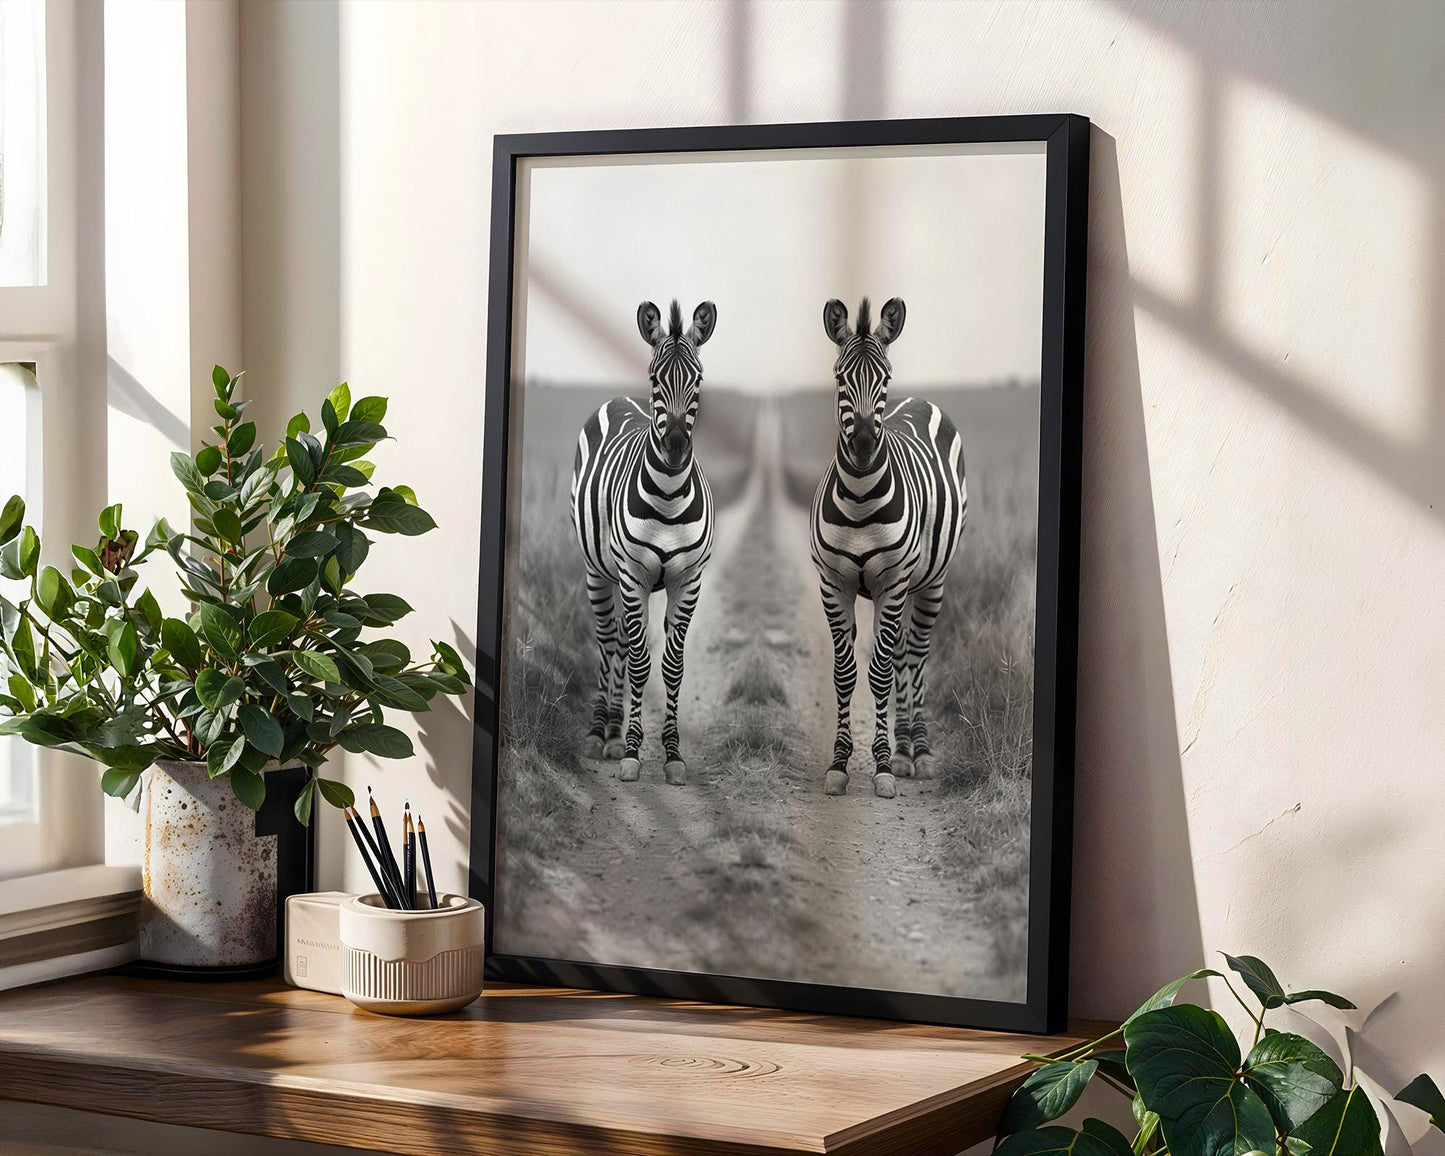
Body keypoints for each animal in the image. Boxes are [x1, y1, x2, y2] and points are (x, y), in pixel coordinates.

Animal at [570, 299, 717, 786]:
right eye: (655, 379)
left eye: (698, 380)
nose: (674, 446)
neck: (669, 496)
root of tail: (619, 398)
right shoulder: (633, 575)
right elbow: (638, 662)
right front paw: (633, 751)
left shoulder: (688, 581)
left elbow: (671, 666)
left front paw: (671, 753)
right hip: (599, 572)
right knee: (608, 640)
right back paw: (602, 733)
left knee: (621, 637)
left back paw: (615, 732)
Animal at [809, 297, 967, 798]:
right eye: (840, 377)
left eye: (885, 377)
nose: (862, 445)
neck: (860, 498)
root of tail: (921, 400)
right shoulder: (833, 583)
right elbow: (847, 672)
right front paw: (840, 762)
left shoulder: (893, 581)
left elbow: (879, 672)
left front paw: (881, 765)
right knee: (898, 652)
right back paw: (902, 749)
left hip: (930, 582)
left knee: (914, 653)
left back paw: (916, 750)